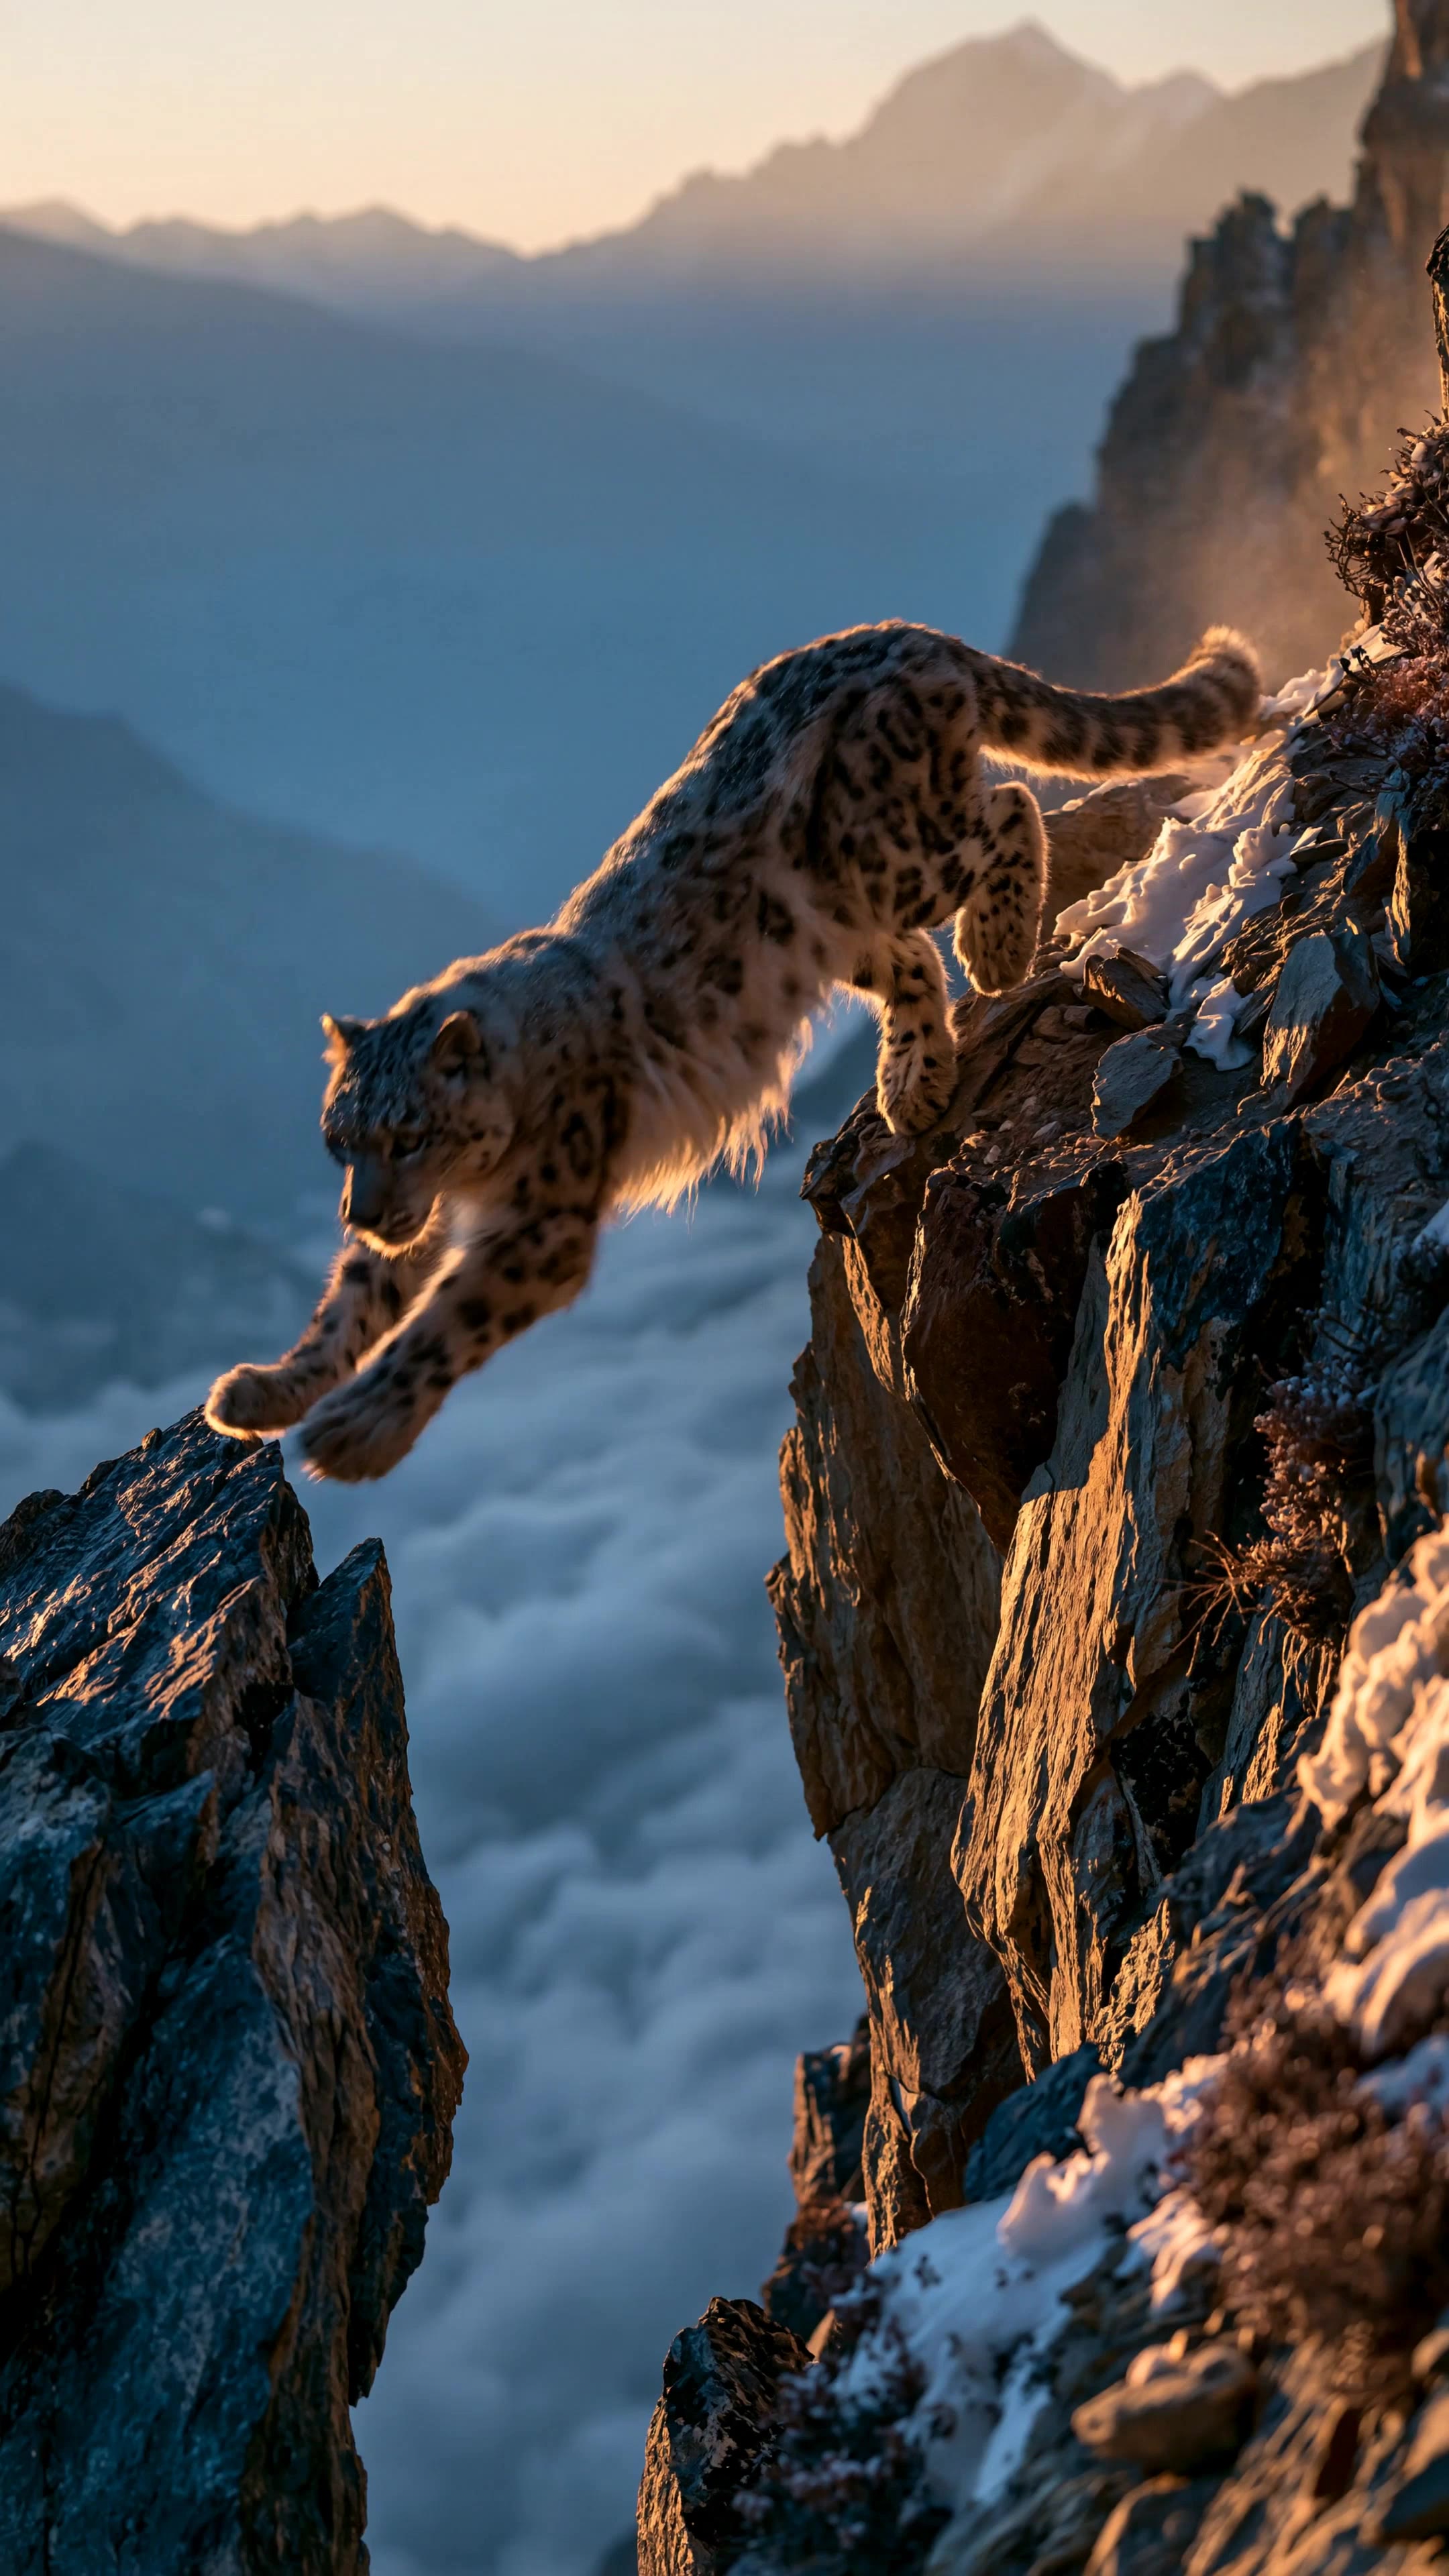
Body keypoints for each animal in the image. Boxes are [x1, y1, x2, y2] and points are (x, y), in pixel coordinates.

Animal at [206, 616, 1259, 1480]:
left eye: (412, 1134)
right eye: (343, 1142)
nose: (368, 1212)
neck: (471, 1180)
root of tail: (898, 633)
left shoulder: (542, 1217)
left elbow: (440, 1324)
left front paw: (356, 1435)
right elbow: (355, 1302)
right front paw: (263, 1390)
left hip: (885, 848)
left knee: (1004, 812)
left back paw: (996, 951)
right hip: (828, 912)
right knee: (910, 958)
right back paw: (914, 1081)